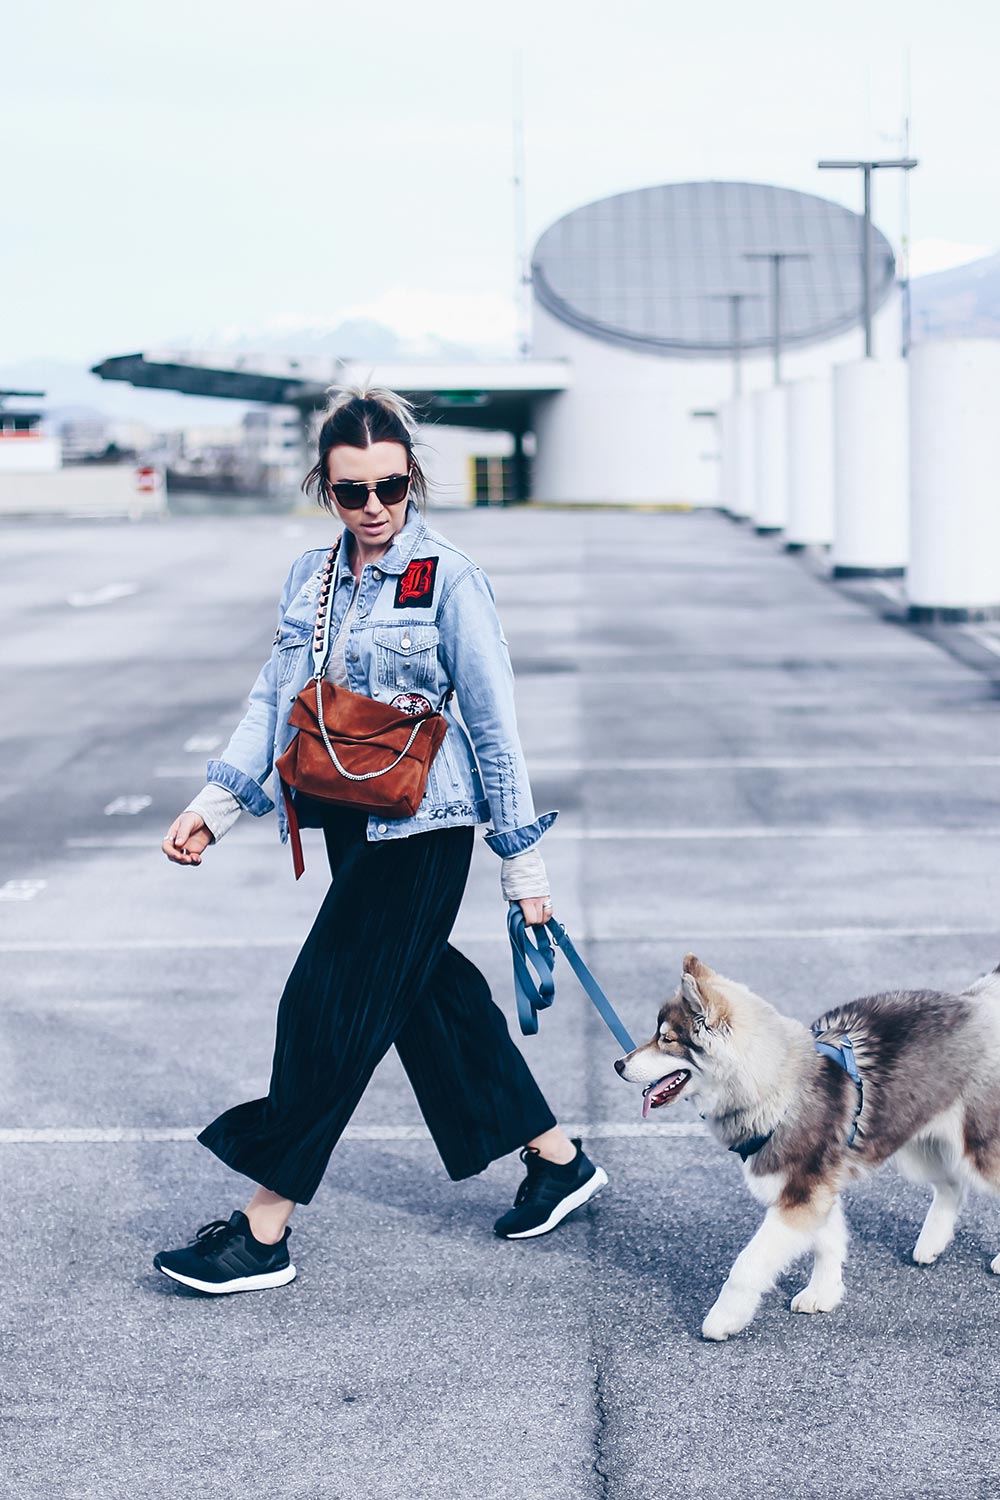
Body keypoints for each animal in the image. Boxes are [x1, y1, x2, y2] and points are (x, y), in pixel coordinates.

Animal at [614, 954, 1000, 1344]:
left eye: (667, 1039)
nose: (618, 1065)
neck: (779, 1090)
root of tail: (975, 1001)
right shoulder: (815, 1191)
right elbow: (827, 1244)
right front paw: (823, 1292)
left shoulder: (800, 1197)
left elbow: (748, 1264)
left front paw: (724, 1318)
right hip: (916, 1144)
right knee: (952, 1185)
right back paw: (931, 1245)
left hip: (975, 1146)